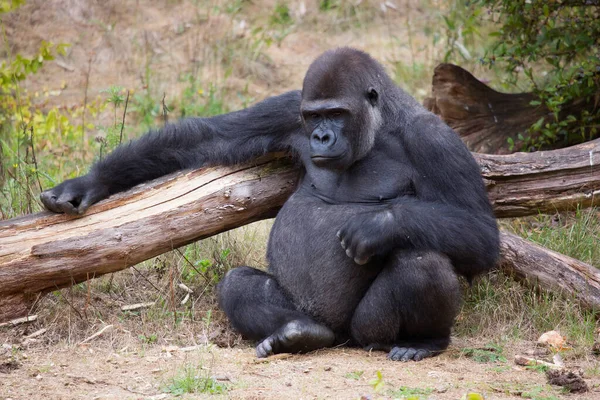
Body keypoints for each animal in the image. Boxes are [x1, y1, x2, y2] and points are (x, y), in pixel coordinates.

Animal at [42, 47, 500, 362]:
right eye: (314, 117)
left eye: (337, 113)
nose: (321, 137)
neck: (380, 124)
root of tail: (340, 336)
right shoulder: (288, 109)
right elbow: (208, 137)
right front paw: (88, 183)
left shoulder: (436, 140)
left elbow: (482, 235)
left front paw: (378, 226)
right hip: (308, 312)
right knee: (239, 284)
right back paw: (302, 334)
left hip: (367, 331)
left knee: (422, 261)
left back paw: (424, 340)